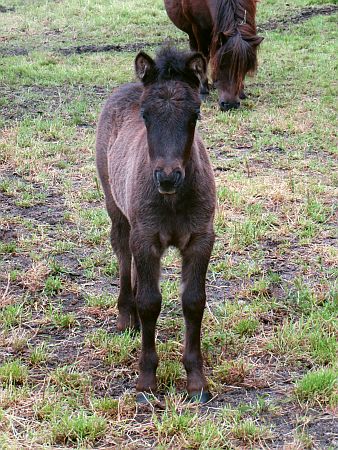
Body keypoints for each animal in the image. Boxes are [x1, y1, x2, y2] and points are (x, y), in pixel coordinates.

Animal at [96, 47, 215, 402]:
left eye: (195, 114)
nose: (167, 176)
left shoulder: (201, 239)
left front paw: (196, 382)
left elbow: (194, 302)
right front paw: (146, 382)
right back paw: (126, 317)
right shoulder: (146, 237)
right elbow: (150, 303)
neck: (173, 200)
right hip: (117, 209)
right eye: (146, 115)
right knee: (123, 254)